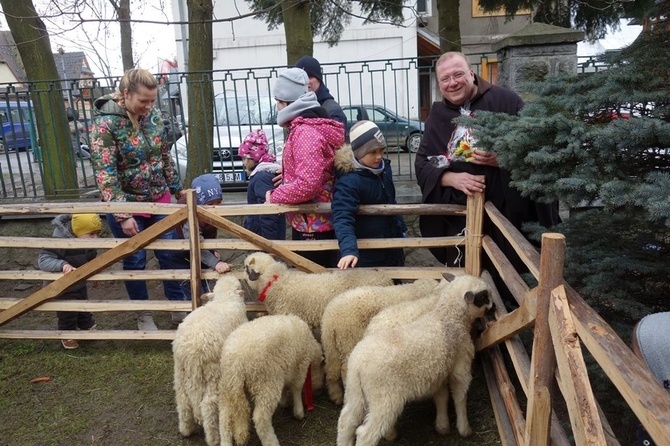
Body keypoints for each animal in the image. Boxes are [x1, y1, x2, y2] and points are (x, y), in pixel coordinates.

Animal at [172, 276, 248, 446]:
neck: (224, 298)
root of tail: (191, 353)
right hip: (212, 373)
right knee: (208, 405)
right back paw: (213, 438)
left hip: (179, 371)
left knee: (182, 399)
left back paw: (186, 430)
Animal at [219, 314, 326, 446]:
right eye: (323, 373)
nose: (320, 392)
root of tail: (236, 363)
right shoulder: (300, 368)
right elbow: (296, 388)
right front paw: (299, 412)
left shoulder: (284, 371)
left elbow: (285, 388)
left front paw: (284, 402)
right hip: (266, 384)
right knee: (260, 418)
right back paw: (271, 441)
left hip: (227, 387)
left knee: (224, 418)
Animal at [336, 272, 494, 446]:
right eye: (483, 296)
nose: (494, 307)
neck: (448, 318)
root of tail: (358, 363)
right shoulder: (461, 366)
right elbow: (460, 396)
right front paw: (465, 429)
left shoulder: (438, 372)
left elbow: (441, 397)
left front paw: (442, 426)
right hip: (384, 397)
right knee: (365, 434)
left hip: (354, 389)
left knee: (346, 420)